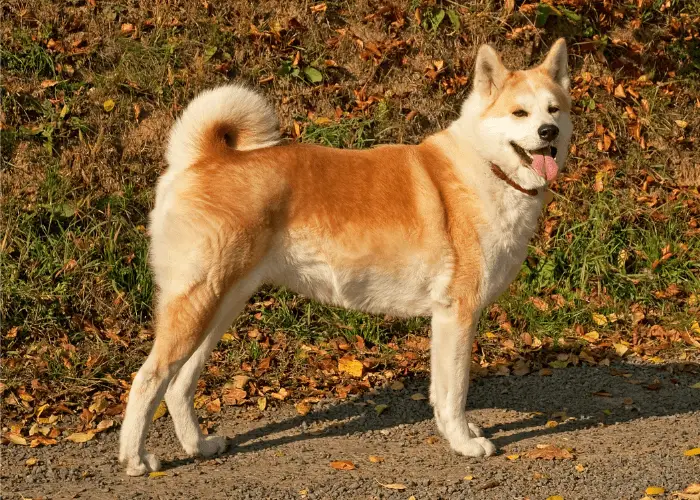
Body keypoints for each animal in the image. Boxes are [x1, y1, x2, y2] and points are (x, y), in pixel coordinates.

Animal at [117, 37, 572, 474]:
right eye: (519, 113)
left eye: (553, 109)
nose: (548, 131)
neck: (485, 166)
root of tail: (202, 158)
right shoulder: (457, 315)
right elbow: (455, 392)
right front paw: (464, 443)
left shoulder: (446, 321)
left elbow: (441, 393)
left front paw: (454, 434)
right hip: (197, 306)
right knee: (148, 378)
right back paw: (136, 460)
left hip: (221, 308)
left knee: (179, 385)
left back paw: (199, 445)